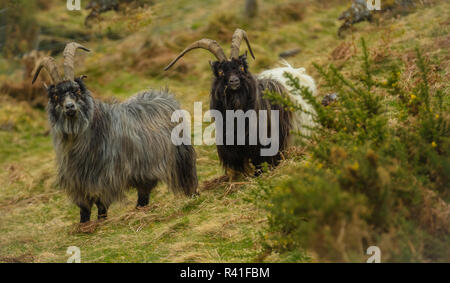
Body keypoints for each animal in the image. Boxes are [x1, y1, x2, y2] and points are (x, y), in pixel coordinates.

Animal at [32, 42, 198, 224]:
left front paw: (101, 223)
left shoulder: (105, 178)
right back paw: (140, 210)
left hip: (181, 157)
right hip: (144, 170)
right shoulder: (78, 183)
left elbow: (101, 206)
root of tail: (165, 95)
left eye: (77, 91)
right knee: (144, 193)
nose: (70, 107)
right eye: (55, 95)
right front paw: (83, 226)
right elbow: (84, 209)